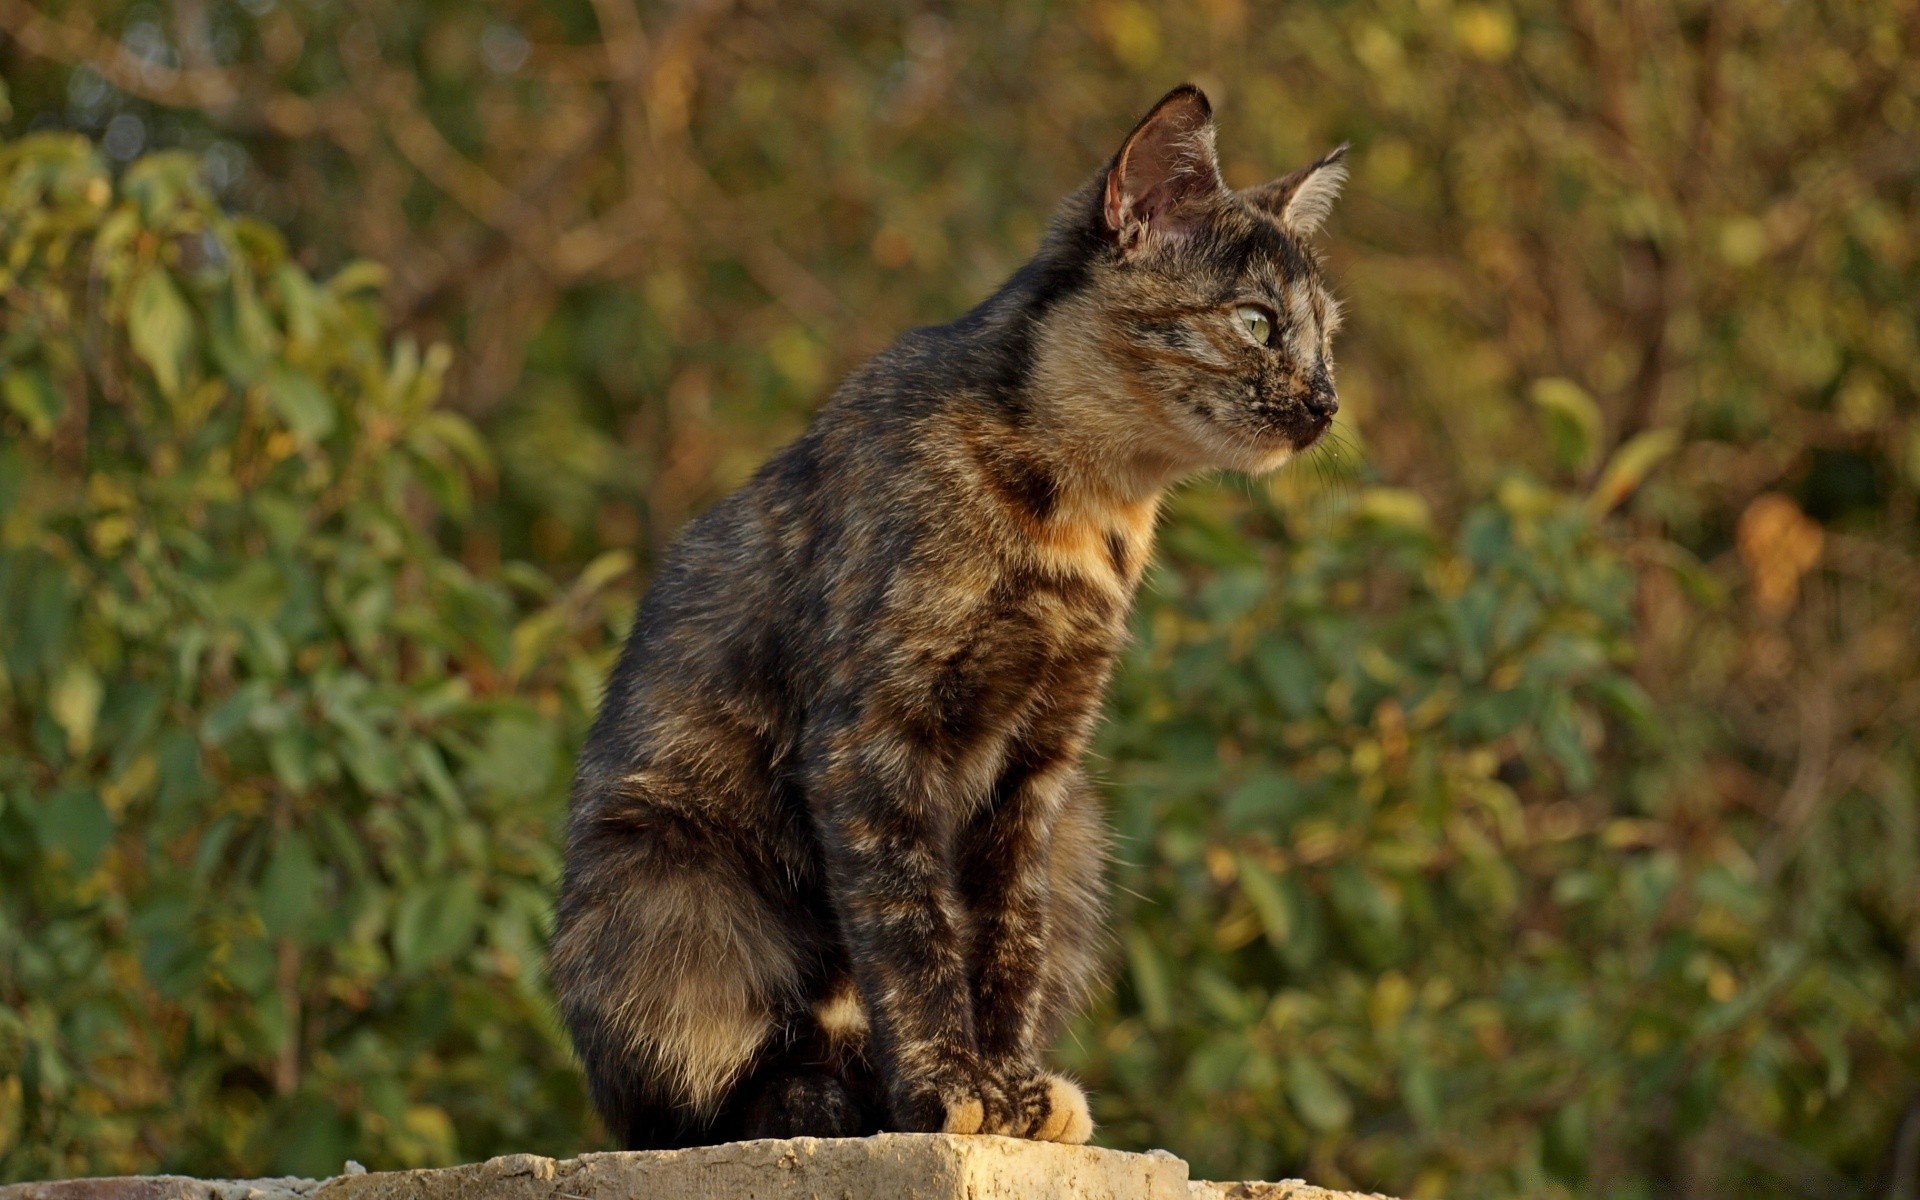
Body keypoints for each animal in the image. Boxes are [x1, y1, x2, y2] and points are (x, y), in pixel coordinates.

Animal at [549, 84, 1344, 1152]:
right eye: (1257, 323)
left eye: (1329, 336)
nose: (1328, 401)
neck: (1084, 516)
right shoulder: (872, 737)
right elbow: (909, 926)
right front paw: (945, 1092)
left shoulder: (1037, 768)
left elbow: (1004, 938)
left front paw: (1010, 1094)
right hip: (667, 886)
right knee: (692, 1099)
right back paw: (822, 1100)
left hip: (1081, 835)